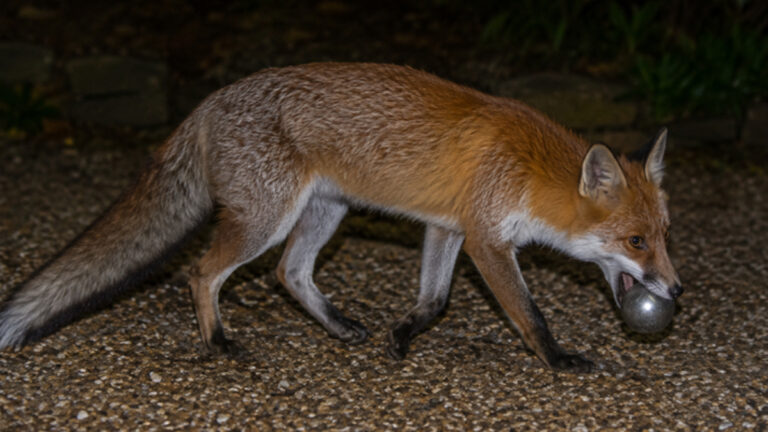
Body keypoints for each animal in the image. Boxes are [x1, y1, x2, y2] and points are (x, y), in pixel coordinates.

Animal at [0, 63, 682, 372]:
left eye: (664, 237)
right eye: (635, 240)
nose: (676, 290)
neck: (529, 169)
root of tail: (209, 101)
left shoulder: (449, 225)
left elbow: (435, 300)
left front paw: (402, 336)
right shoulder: (488, 240)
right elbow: (528, 314)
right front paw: (559, 359)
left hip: (325, 213)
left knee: (288, 275)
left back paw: (336, 327)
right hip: (268, 219)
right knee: (202, 273)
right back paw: (218, 341)